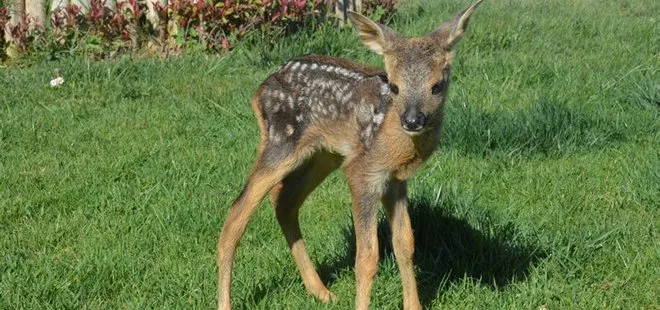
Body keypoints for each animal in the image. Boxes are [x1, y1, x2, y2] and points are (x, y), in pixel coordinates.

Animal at [219, 1, 482, 308]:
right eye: (394, 86)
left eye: (437, 85)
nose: (412, 120)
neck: (396, 142)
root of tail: (261, 89)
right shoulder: (362, 172)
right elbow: (367, 258)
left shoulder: (395, 180)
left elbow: (405, 243)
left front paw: (413, 305)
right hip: (281, 143)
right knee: (236, 214)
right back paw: (226, 301)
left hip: (323, 155)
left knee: (284, 202)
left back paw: (321, 291)